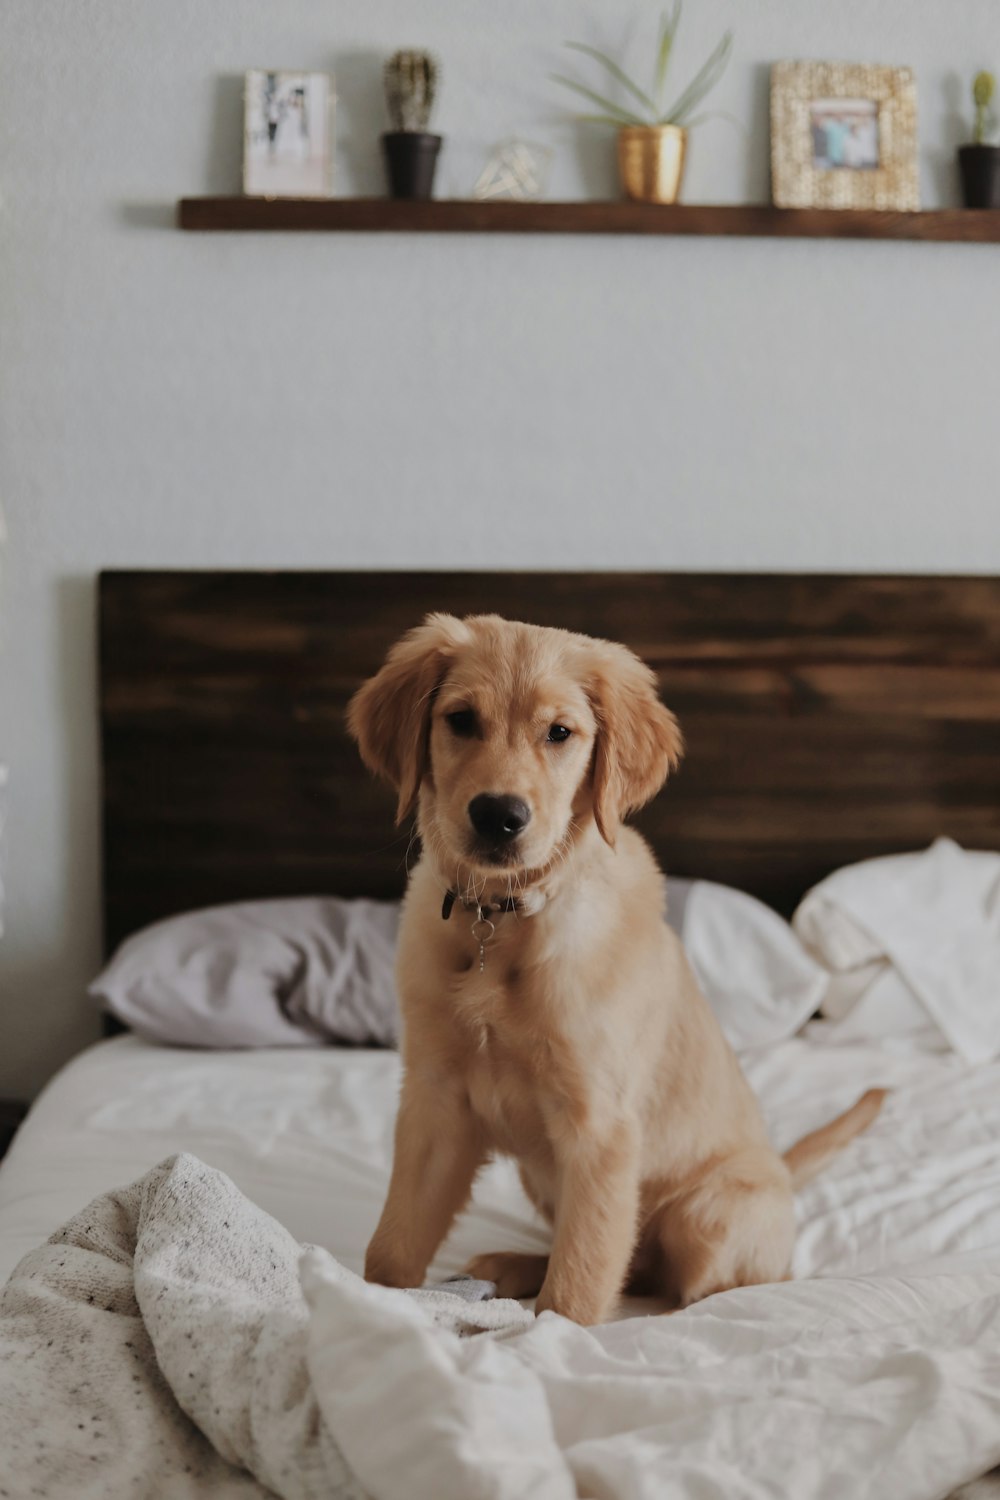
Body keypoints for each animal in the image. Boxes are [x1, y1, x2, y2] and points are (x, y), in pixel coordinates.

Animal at [346, 612, 881, 1326]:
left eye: (559, 733)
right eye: (460, 720)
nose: (498, 815)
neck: (505, 921)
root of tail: (783, 1170)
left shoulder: (599, 1123)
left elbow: (579, 1279)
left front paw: (548, 1335)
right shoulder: (434, 1099)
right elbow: (395, 1243)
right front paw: (372, 1305)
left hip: (710, 1213)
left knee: (686, 1281)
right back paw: (511, 1265)